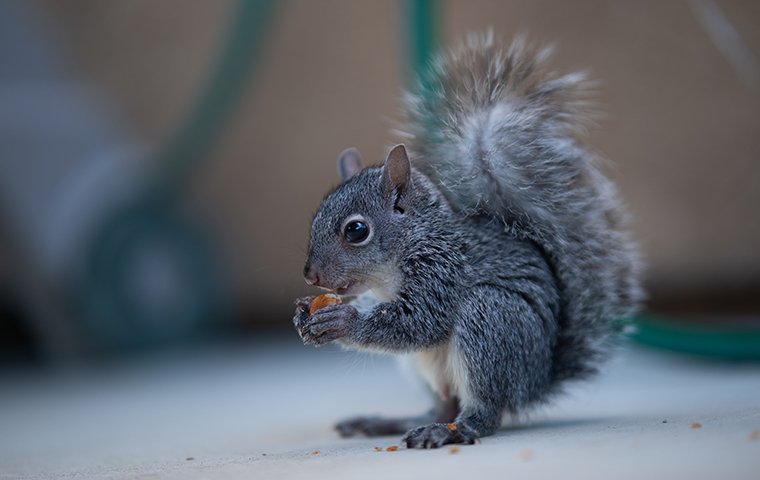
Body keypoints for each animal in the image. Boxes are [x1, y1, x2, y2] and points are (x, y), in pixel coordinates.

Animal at [290, 34, 640, 450]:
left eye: (356, 231)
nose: (311, 276)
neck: (413, 244)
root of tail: (535, 384)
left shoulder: (443, 269)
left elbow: (418, 323)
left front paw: (342, 320)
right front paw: (305, 315)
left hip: (490, 321)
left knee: (484, 412)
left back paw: (453, 430)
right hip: (424, 367)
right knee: (443, 404)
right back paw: (392, 422)